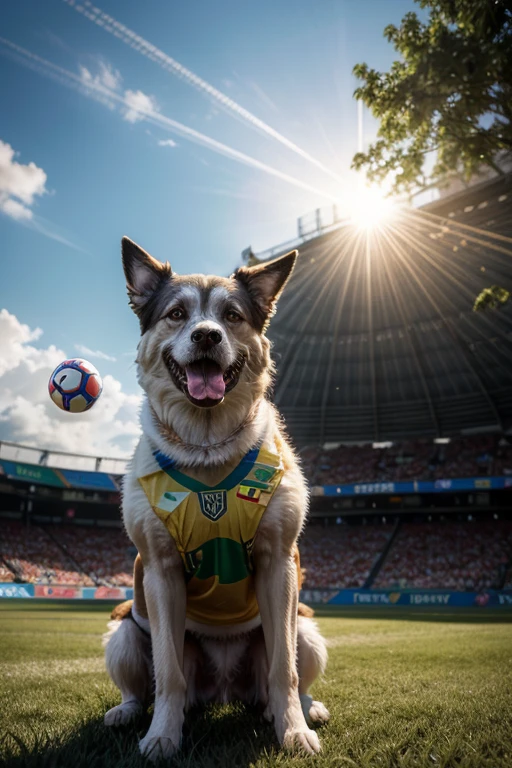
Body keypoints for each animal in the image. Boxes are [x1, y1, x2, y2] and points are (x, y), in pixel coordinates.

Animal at [104, 237, 330, 760]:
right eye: (176, 313)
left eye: (231, 315)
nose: (206, 336)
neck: (206, 448)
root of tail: (226, 689)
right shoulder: (160, 571)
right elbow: (168, 673)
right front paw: (162, 736)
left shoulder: (278, 563)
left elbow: (283, 671)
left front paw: (293, 731)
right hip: (124, 630)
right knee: (143, 684)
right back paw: (129, 712)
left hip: (306, 627)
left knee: (288, 671)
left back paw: (302, 709)